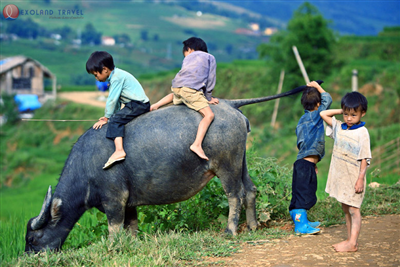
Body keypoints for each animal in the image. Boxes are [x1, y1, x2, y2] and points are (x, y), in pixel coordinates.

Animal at [25, 86, 302, 253]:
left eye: (32, 239)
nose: (30, 255)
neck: (86, 166)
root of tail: (228, 105)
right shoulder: (129, 201)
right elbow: (131, 226)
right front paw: (132, 244)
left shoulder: (114, 199)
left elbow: (114, 227)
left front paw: (113, 247)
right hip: (239, 161)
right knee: (251, 190)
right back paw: (253, 226)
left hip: (226, 166)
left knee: (236, 195)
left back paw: (231, 230)